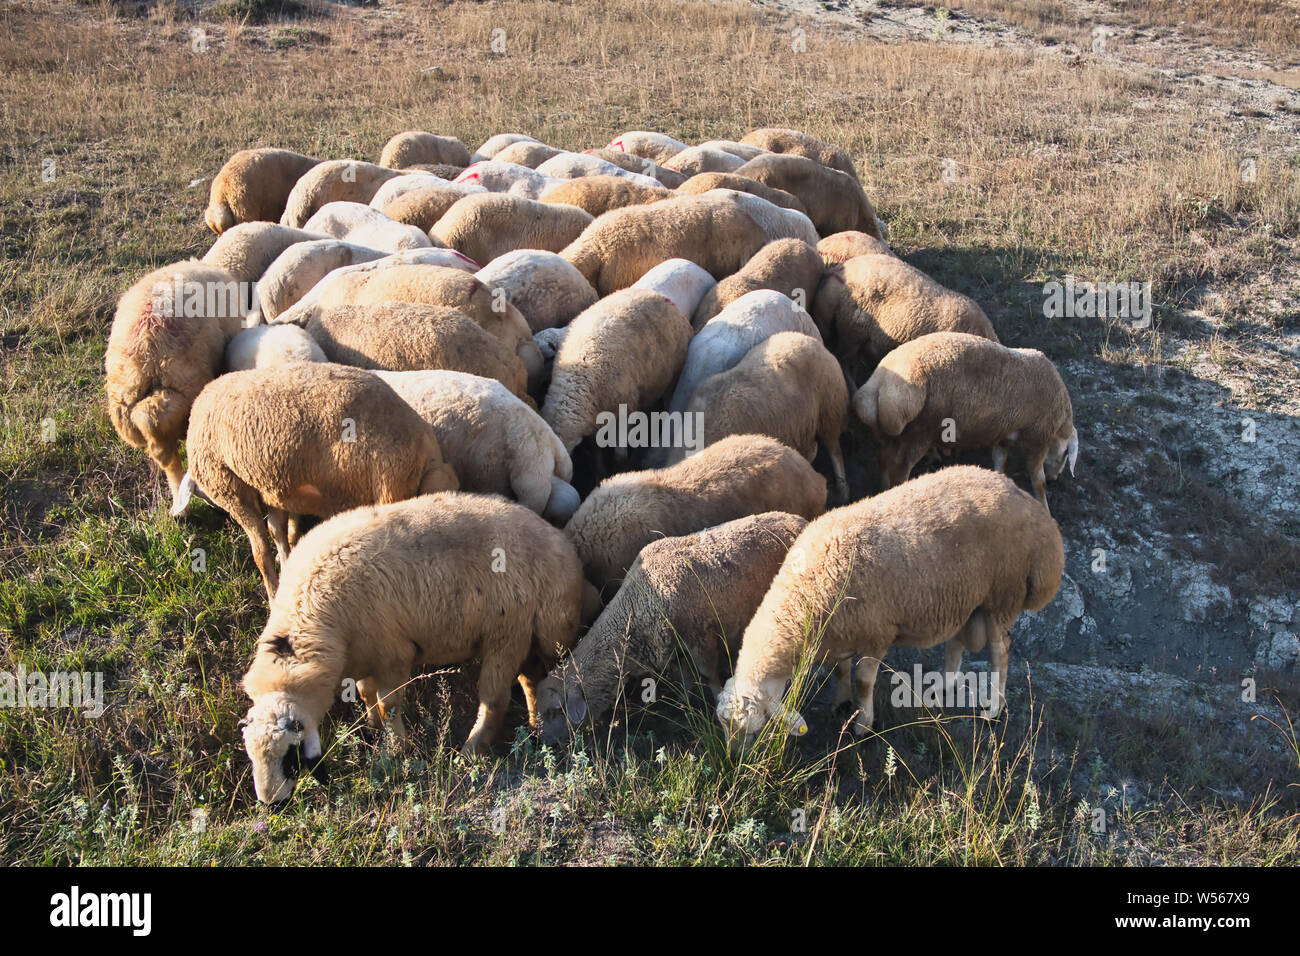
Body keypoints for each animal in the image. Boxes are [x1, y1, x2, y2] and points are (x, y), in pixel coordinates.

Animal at [239, 491, 586, 800]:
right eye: (251, 757)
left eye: (291, 755)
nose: (272, 802)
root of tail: (561, 545)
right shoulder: (366, 654)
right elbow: (365, 693)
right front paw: (373, 728)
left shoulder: (393, 654)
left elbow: (388, 703)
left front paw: (396, 749)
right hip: (524, 635)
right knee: (531, 680)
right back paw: (534, 726)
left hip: (509, 632)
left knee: (495, 698)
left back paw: (471, 751)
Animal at [538, 511, 808, 738]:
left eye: (555, 712)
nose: (544, 740)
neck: (637, 607)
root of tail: (799, 519)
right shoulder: (673, 647)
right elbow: (685, 677)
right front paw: (684, 703)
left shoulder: (700, 637)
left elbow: (708, 675)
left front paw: (715, 700)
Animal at [716, 466, 1064, 743]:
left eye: (752, 730)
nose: (734, 760)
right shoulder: (840, 632)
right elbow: (840, 671)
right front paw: (841, 704)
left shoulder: (877, 633)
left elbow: (863, 681)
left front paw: (863, 725)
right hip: (967, 594)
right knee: (958, 640)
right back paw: (943, 684)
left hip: (1003, 592)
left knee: (999, 650)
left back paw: (993, 707)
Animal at [852, 331, 1078, 509]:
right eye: (1067, 454)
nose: (1056, 478)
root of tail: (880, 386)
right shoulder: (1038, 438)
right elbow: (1038, 481)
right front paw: (1044, 506)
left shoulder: (1002, 435)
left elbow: (999, 462)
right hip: (919, 433)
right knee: (901, 471)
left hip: (884, 436)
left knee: (883, 461)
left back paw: (882, 488)